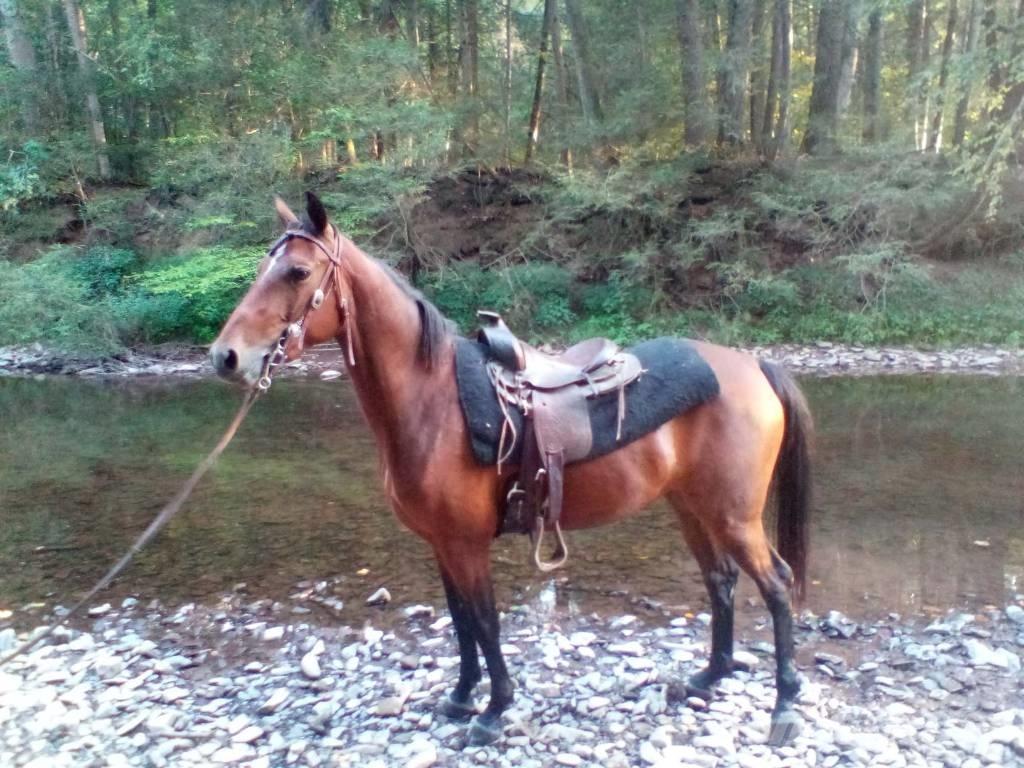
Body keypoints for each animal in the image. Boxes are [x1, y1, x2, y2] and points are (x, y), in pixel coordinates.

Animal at [210, 192, 813, 748]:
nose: (226, 357)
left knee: (777, 585)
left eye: (297, 271)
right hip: (693, 507)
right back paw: (709, 677)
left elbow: (485, 621)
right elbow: (460, 623)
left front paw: (495, 710)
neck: (434, 402)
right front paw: (460, 697)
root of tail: (752, 364)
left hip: (734, 516)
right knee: (721, 580)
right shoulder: (442, 543)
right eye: (262, 268)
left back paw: (784, 706)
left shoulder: (466, 542)